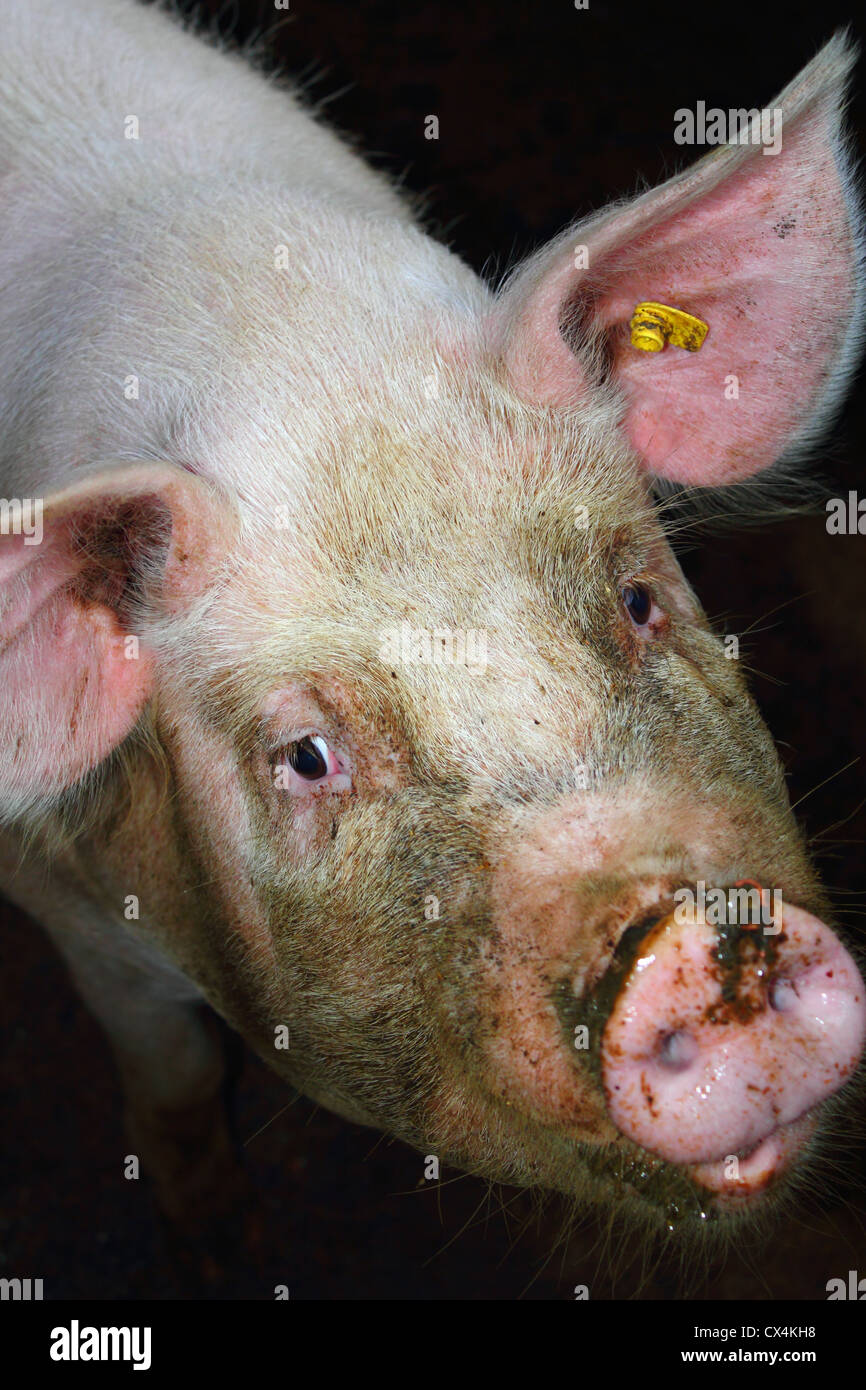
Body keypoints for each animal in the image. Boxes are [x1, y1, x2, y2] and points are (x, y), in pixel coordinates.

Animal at [0, 0, 864, 1251]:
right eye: (306, 755)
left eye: (635, 600)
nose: (695, 947)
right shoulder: (74, 909)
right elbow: (173, 1069)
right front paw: (220, 1235)